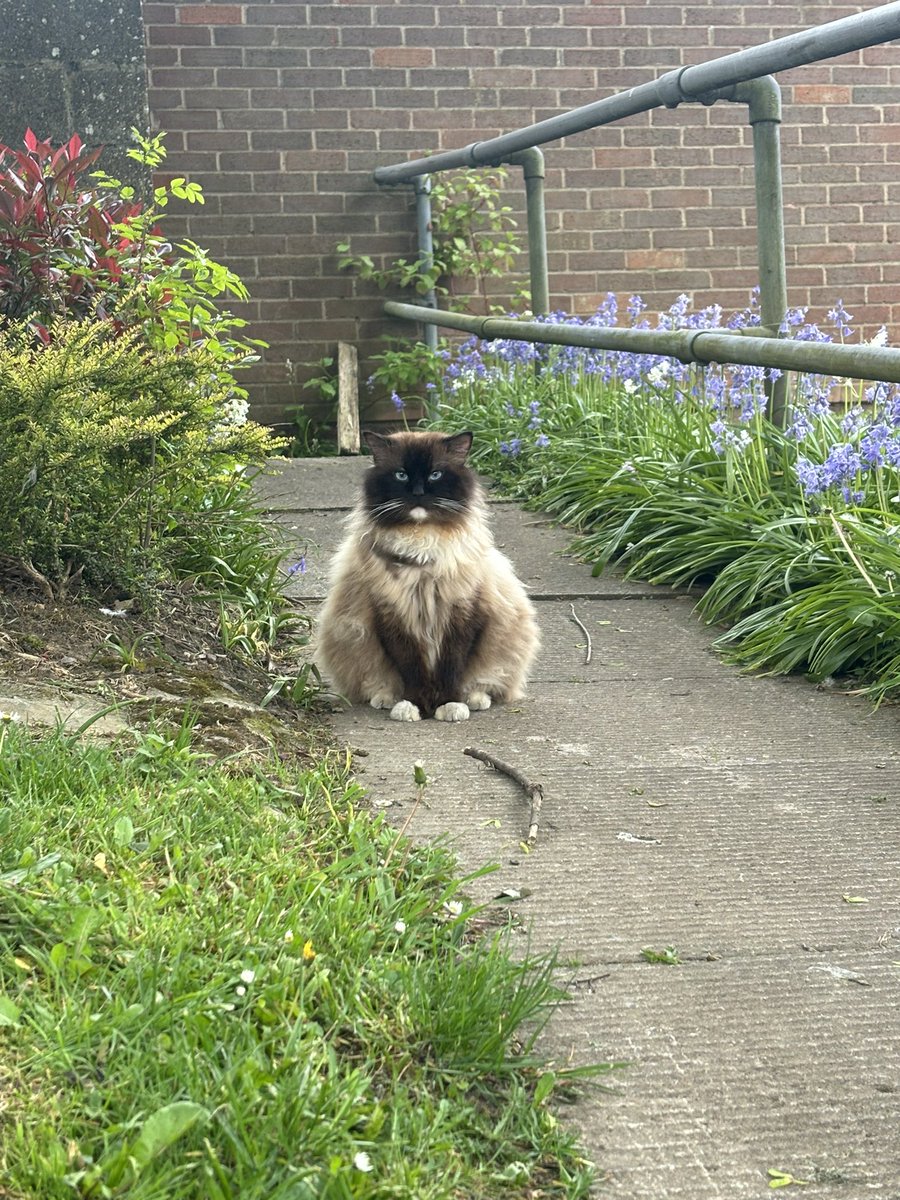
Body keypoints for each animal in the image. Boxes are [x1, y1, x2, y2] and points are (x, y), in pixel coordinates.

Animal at [316, 427, 542, 715]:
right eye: (401, 474)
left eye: (435, 474)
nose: (418, 492)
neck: (421, 545)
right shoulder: (393, 617)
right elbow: (411, 669)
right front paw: (414, 706)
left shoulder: (461, 614)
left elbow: (451, 668)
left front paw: (448, 706)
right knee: (376, 683)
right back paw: (386, 699)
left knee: (486, 682)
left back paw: (475, 700)